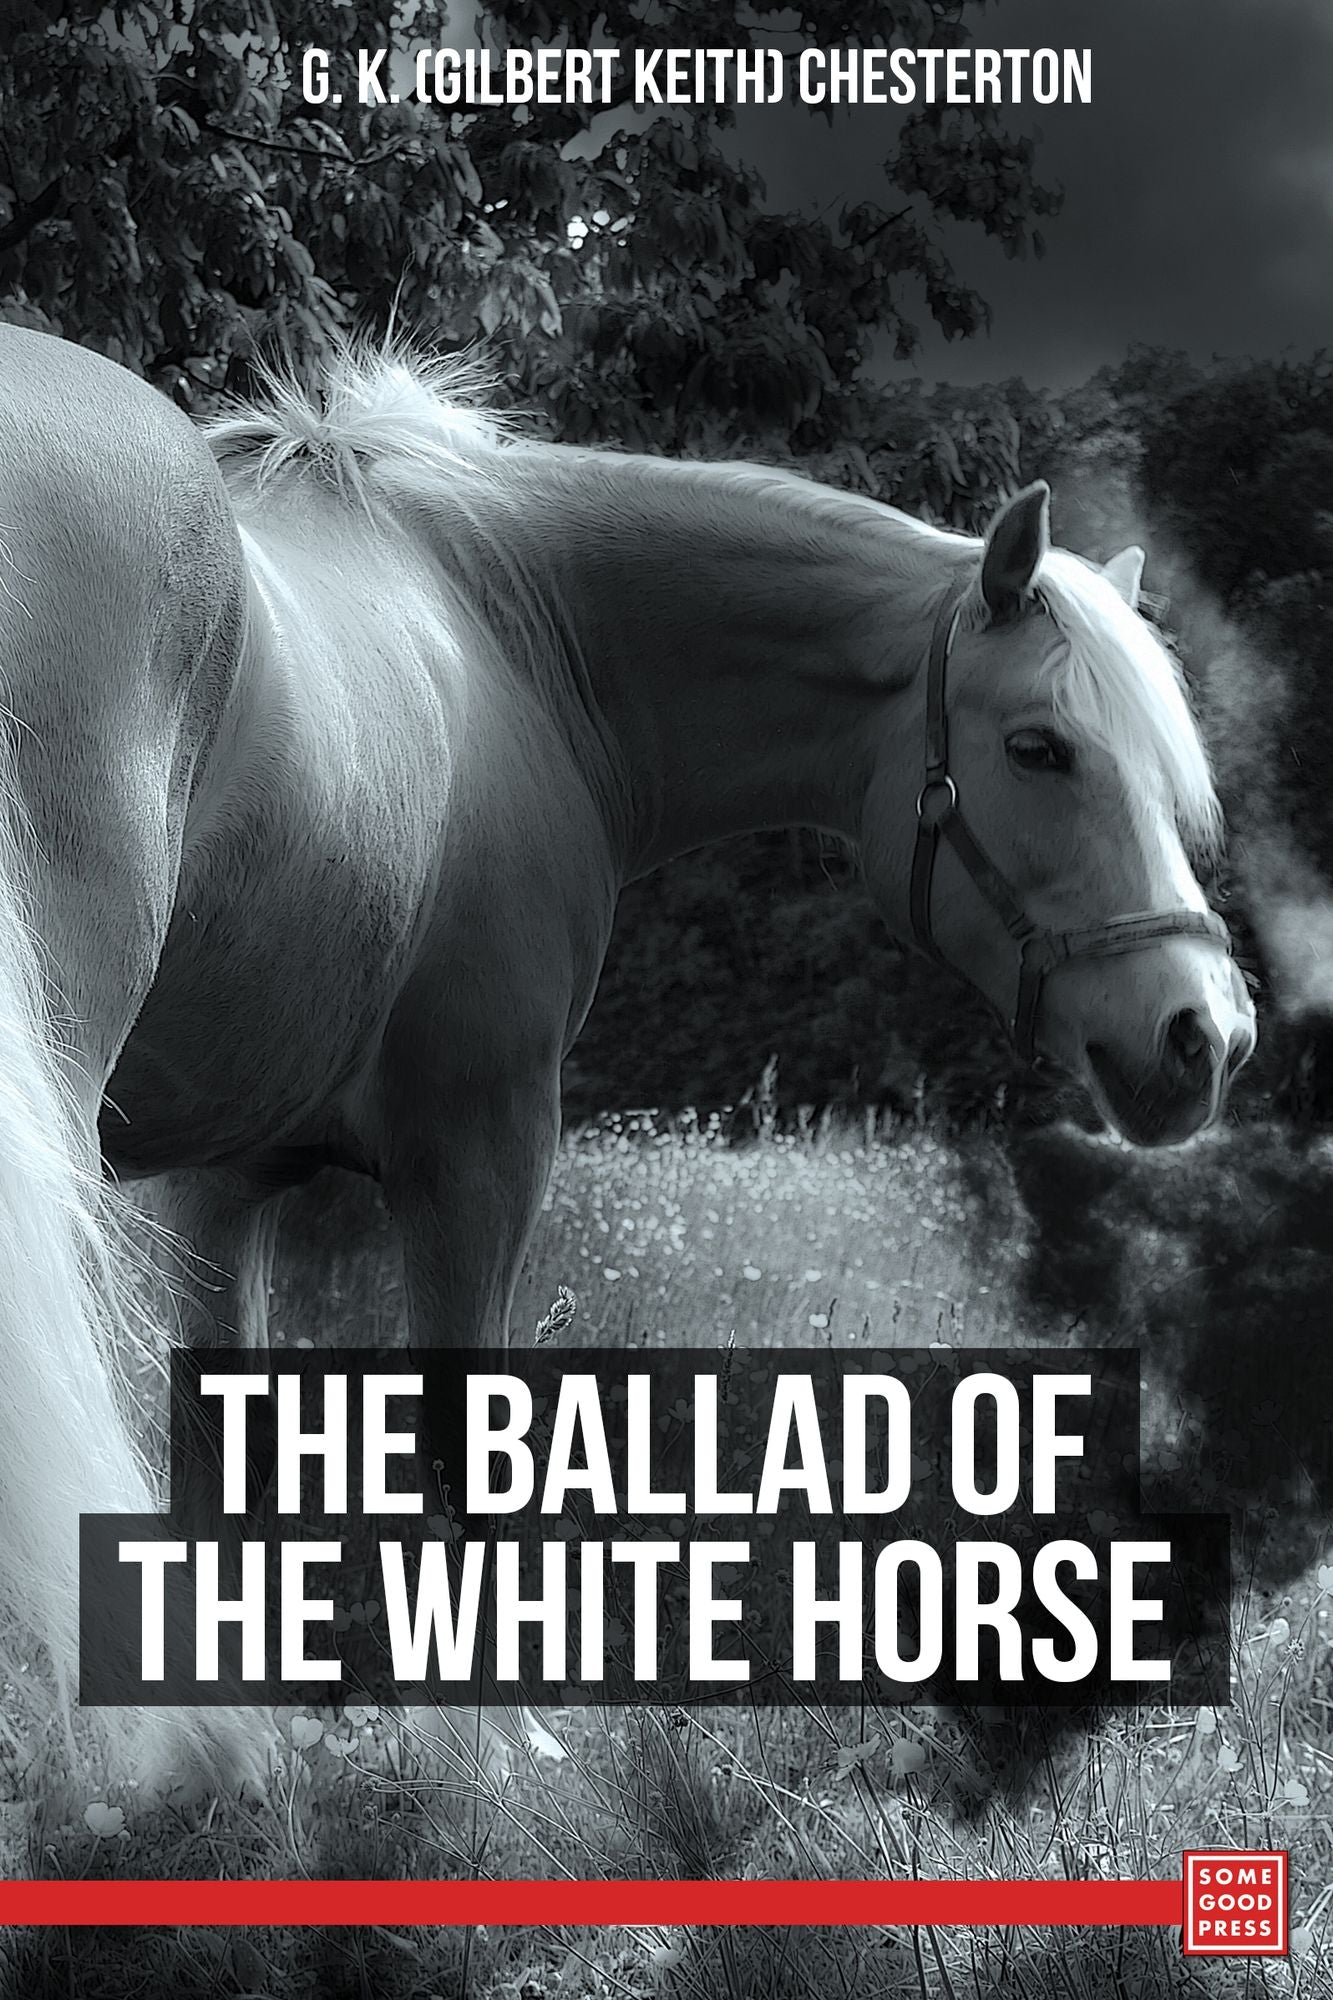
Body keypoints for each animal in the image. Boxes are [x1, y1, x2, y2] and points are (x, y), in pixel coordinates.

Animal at [0, 325, 1255, 1792]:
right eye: (1037, 747)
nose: (1202, 1035)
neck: (511, 638)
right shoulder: (480, 1153)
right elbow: (460, 1446)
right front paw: (484, 1752)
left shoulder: (218, 1185)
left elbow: (217, 1455)